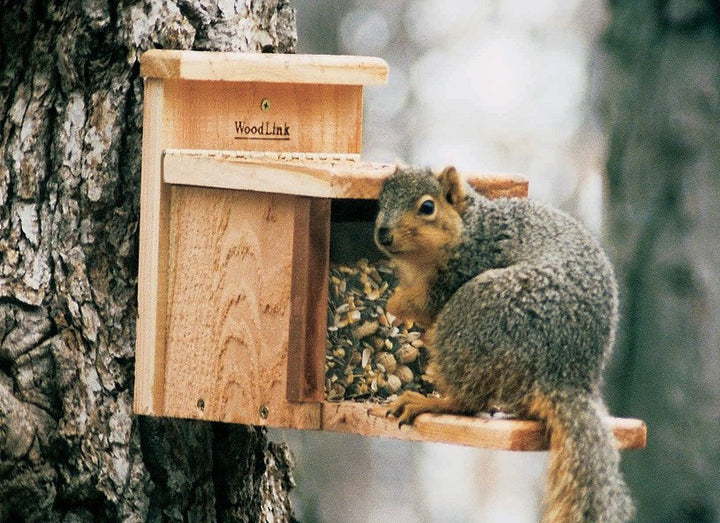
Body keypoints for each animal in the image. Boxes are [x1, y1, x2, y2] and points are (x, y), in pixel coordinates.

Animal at [374, 165, 634, 522]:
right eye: (379, 202)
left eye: (427, 207)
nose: (383, 234)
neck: (470, 226)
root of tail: (565, 374)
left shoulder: (464, 267)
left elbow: (423, 305)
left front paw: (394, 303)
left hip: (474, 313)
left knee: (468, 401)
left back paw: (430, 402)